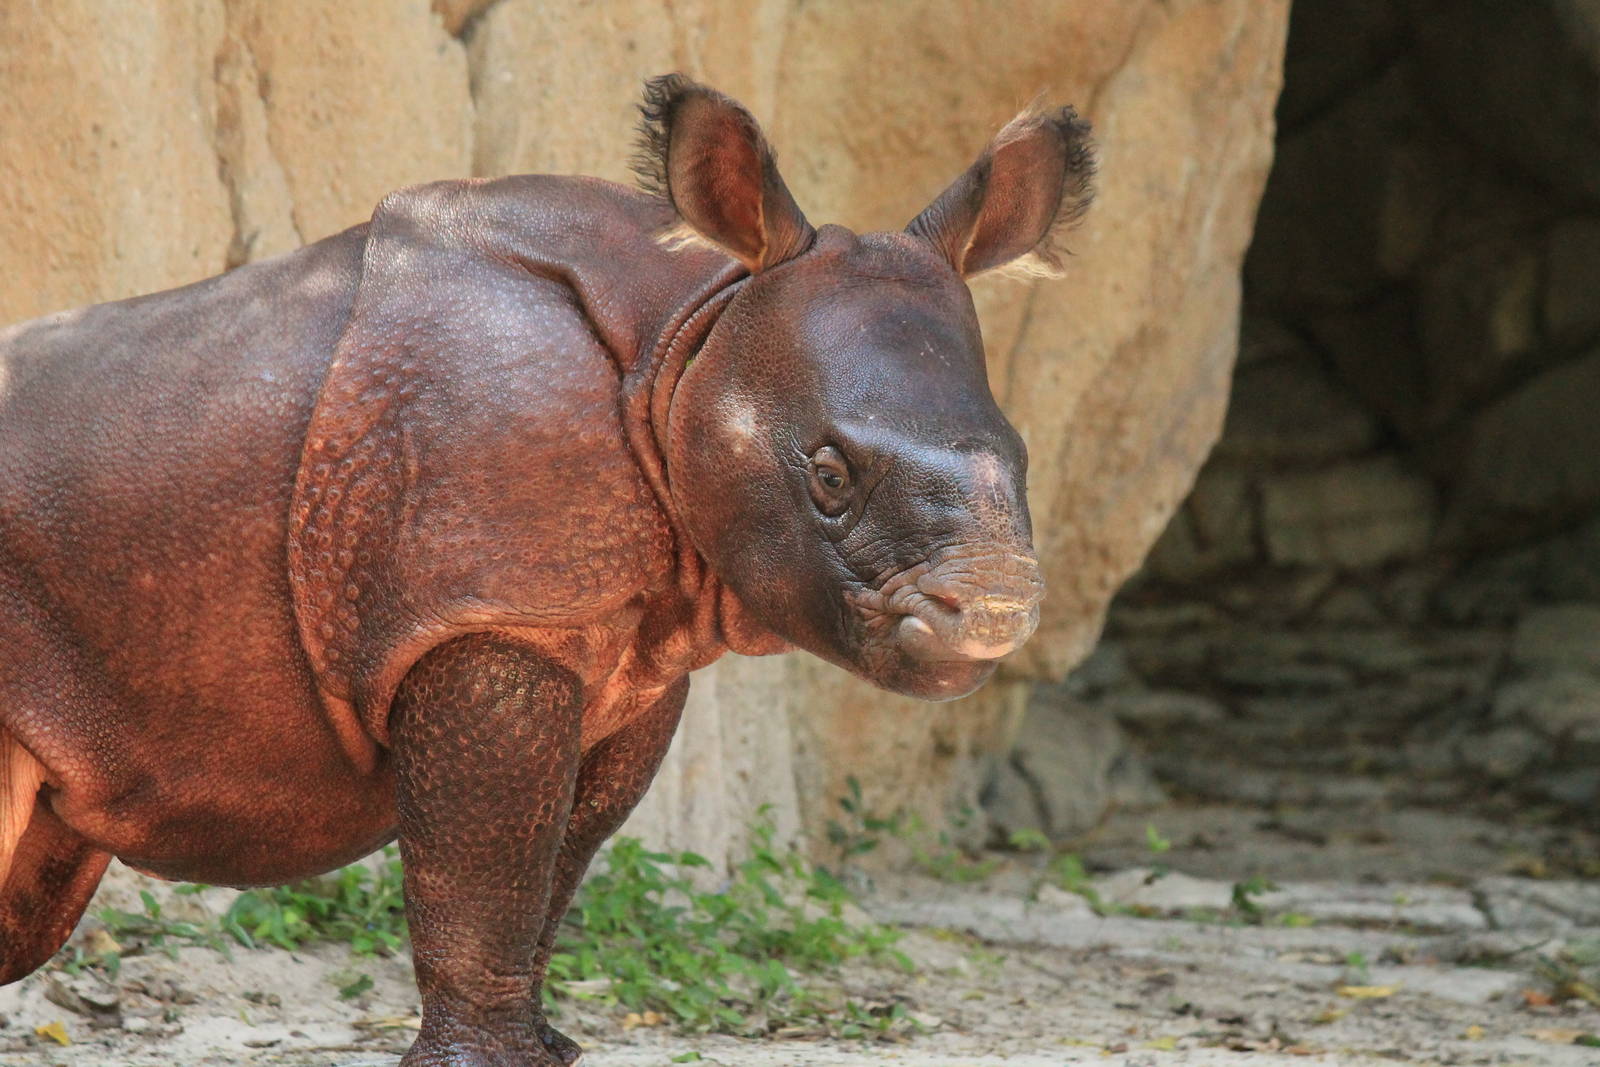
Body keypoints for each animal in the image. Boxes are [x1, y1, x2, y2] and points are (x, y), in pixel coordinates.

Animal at [0, 75, 1094, 1065]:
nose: (989, 614)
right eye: (828, 474)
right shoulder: (488, 608)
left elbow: (559, 860)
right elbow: (485, 866)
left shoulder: (629, 641)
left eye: (1023, 458)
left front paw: (548, 1046)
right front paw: (483, 1060)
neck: (690, 327)